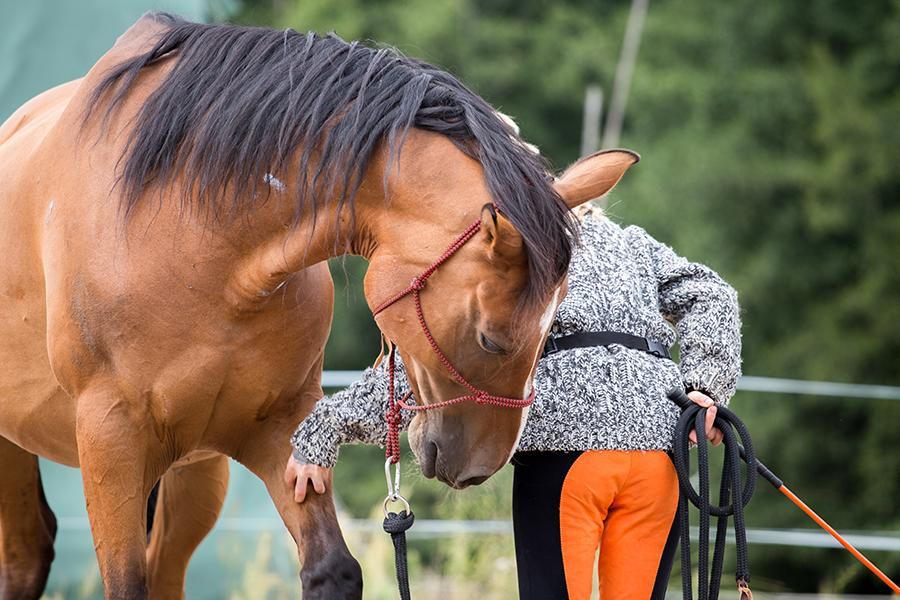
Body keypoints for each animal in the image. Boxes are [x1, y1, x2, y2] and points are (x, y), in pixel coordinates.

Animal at [0, 11, 636, 596]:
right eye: (490, 338)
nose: (480, 467)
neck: (198, 239)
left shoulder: (281, 429)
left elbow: (333, 569)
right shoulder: (111, 446)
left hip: (196, 476)